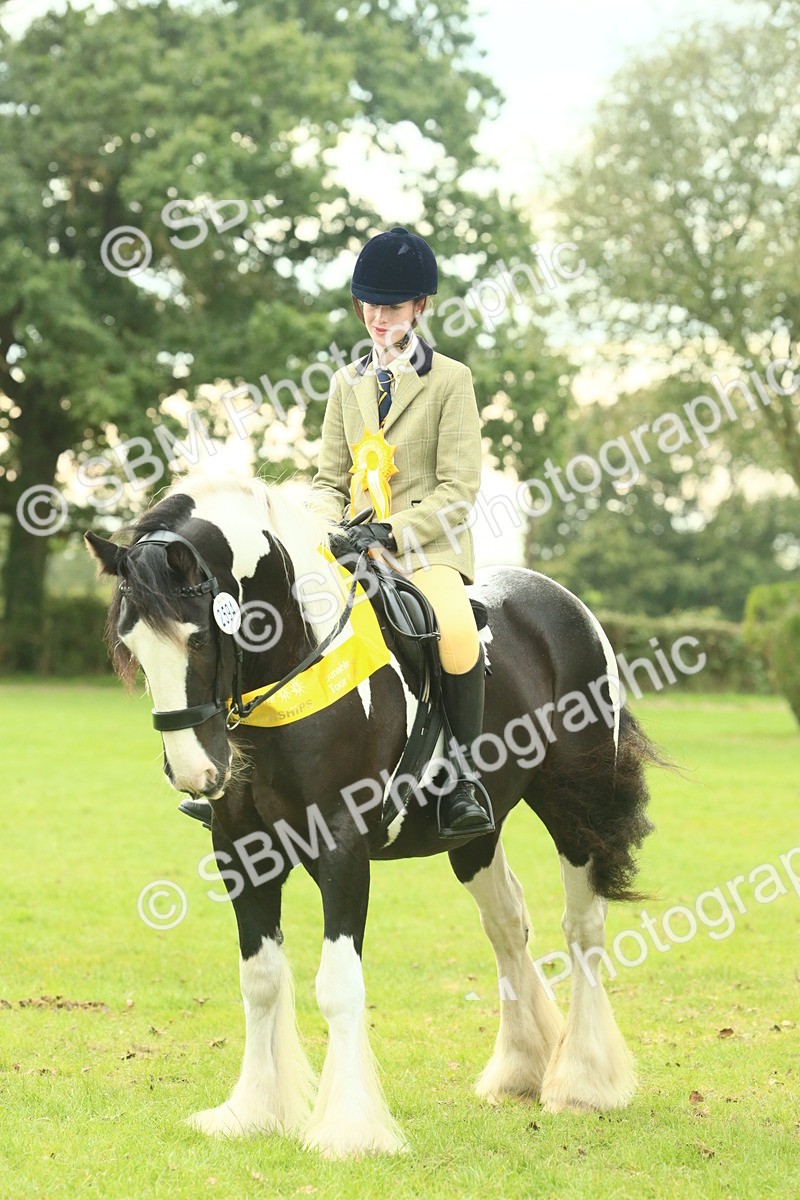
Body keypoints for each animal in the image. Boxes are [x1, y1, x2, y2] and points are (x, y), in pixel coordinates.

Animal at [85, 470, 659, 1158]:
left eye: (198, 638)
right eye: (131, 645)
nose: (197, 772)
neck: (296, 667)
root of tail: (568, 606)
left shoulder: (341, 848)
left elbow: (338, 986)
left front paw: (349, 1128)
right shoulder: (241, 850)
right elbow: (261, 980)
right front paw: (254, 1111)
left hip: (575, 804)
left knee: (583, 927)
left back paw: (583, 1083)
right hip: (476, 834)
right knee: (505, 923)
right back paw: (522, 1069)